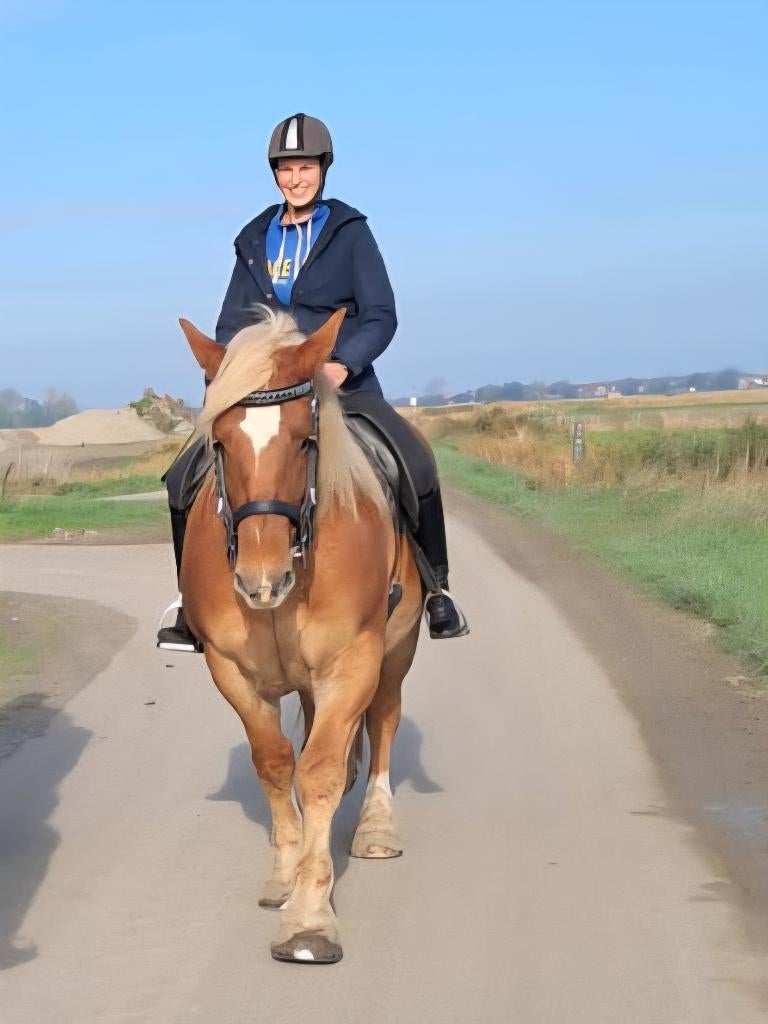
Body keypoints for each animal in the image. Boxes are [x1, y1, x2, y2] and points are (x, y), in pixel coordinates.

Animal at [177, 308, 423, 964]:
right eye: (219, 442)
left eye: (304, 439)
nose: (260, 580)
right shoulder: (231, 669)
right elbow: (275, 763)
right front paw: (285, 876)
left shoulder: (353, 661)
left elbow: (319, 772)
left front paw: (310, 918)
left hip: (398, 649)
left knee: (383, 721)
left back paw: (376, 827)